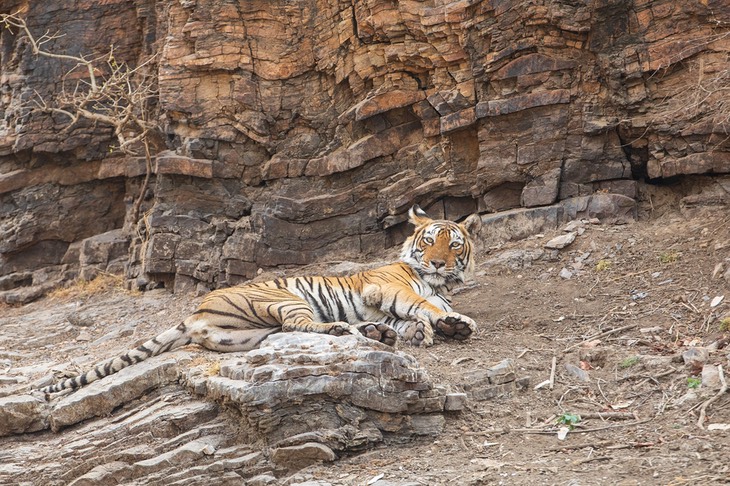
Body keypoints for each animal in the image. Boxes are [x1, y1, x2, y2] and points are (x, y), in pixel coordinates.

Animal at [42, 205, 480, 394]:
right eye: (429, 240)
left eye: (454, 244)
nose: (438, 263)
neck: (439, 284)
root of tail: (194, 312)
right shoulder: (385, 287)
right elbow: (417, 306)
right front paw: (443, 322)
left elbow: (411, 320)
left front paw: (443, 327)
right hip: (283, 299)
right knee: (301, 325)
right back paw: (347, 328)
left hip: (249, 335)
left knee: (288, 333)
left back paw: (374, 333)